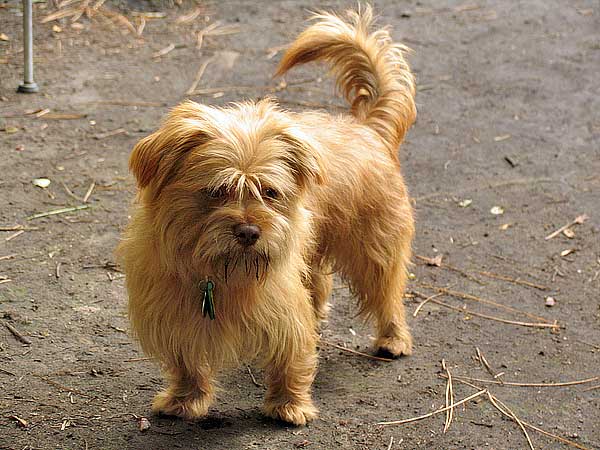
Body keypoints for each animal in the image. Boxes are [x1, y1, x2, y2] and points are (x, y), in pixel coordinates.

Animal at [118, 7, 418, 428]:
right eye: (218, 191)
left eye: (270, 192)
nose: (249, 231)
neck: (218, 272)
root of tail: (366, 127)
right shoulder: (174, 311)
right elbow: (186, 361)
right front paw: (184, 400)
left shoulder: (283, 308)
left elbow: (291, 356)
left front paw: (289, 406)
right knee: (321, 285)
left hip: (376, 248)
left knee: (388, 293)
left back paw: (393, 339)